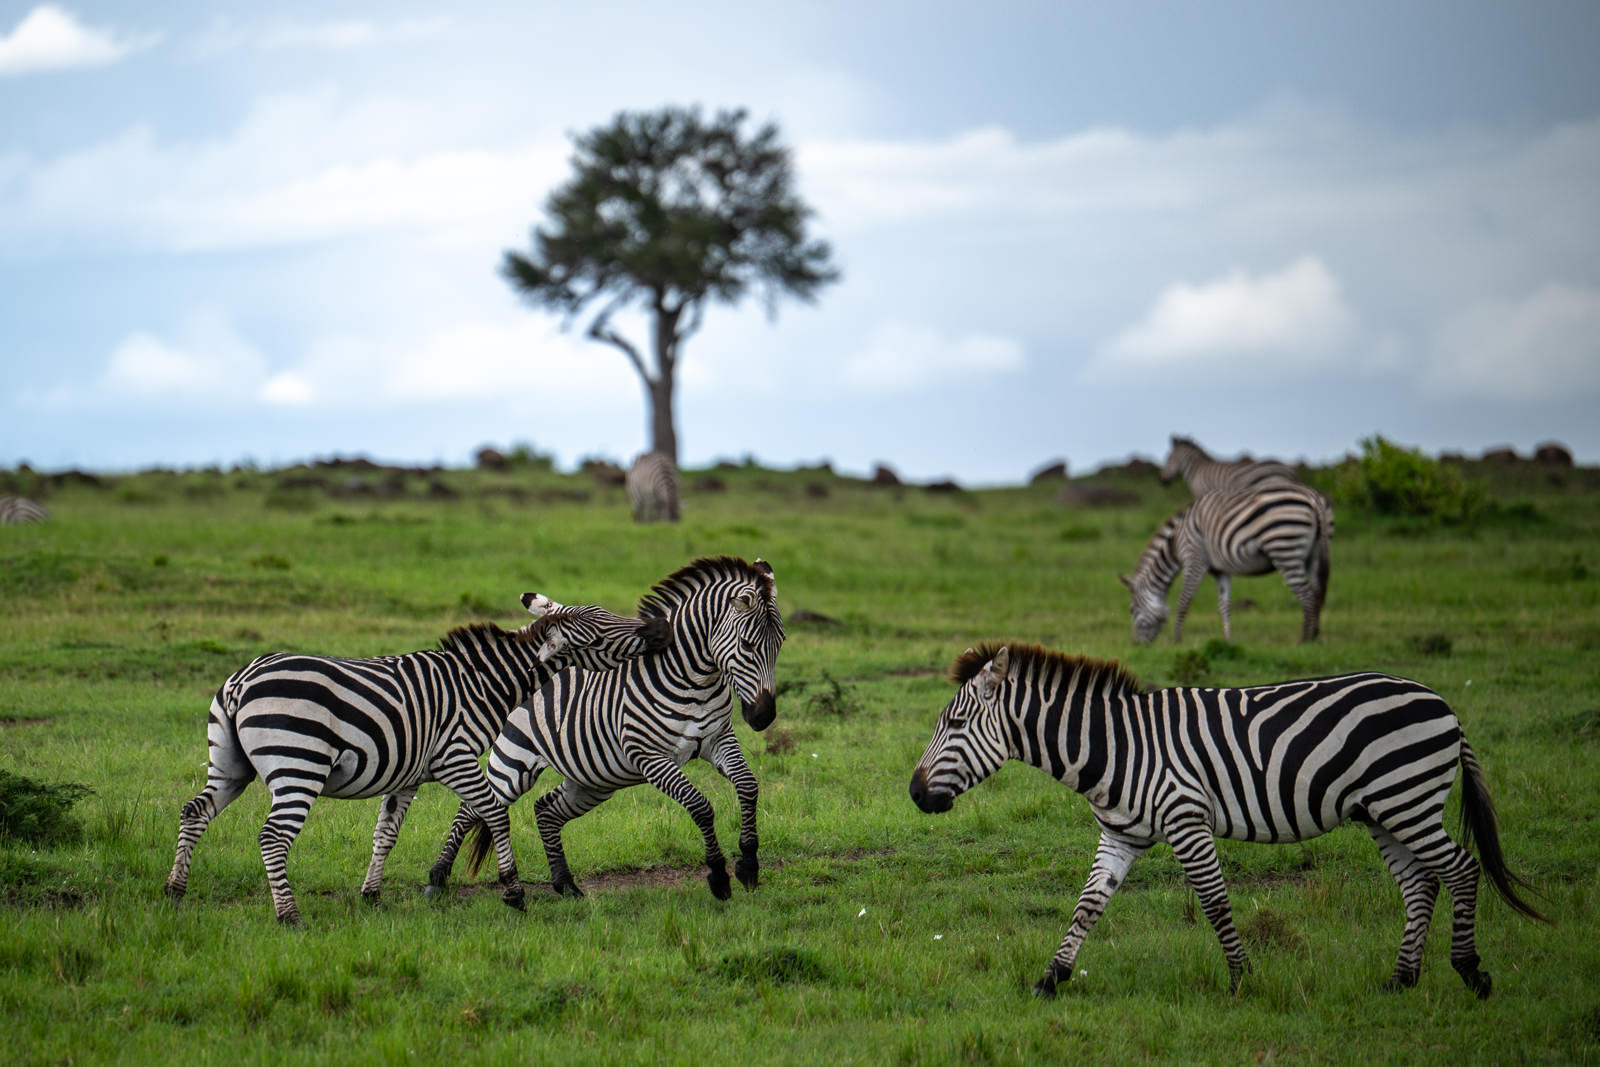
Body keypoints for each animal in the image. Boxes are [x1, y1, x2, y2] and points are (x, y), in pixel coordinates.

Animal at [164, 594, 670, 925]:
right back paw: (288, 915)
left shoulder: (407, 775)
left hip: (230, 765)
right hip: (298, 765)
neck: (480, 685)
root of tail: (240, 682)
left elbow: (386, 833)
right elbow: (494, 813)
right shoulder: (456, 757)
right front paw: (513, 892)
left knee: (195, 812)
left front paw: (372, 895)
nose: (658, 630)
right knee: (272, 836)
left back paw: (174, 892)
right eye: (603, 629)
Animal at [440, 555, 786, 900]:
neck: (694, 681)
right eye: (747, 644)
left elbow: (748, 785)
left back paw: (565, 884)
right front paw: (718, 875)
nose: (762, 717)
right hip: (514, 761)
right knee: (471, 808)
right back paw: (437, 878)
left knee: (544, 809)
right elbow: (700, 806)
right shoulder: (649, 756)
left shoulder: (718, 738)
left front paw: (749, 864)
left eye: (780, 643)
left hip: (593, 779)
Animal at [909, 642, 1548, 999]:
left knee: (1461, 870)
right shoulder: (1120, 833)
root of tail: (1445, 705)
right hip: (1382, 810)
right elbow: (1087, 906)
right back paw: (1400, 981)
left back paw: (1471, 972)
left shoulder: (1186, 817)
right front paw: (1050, 979)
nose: (914, 794)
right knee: (1420, 885)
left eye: (957, 724)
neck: (1116, 747)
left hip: (1407, 798)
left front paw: (1243, 980)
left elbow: (1215, 902)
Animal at [1121, 480, 1332, 644]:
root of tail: (1313, 498)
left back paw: (1303, 640)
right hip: (1312, 554)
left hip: (1284, 548)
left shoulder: (1194, 559)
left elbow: (1184, 599)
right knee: (1317, 592)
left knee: (1306, 594)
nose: (1136, 644)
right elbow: (1224, 605)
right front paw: (1228, 639)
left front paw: (1176, 640)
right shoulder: (1221, 571)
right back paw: (1315, 636)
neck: (1175, 543)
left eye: (1131, 610)